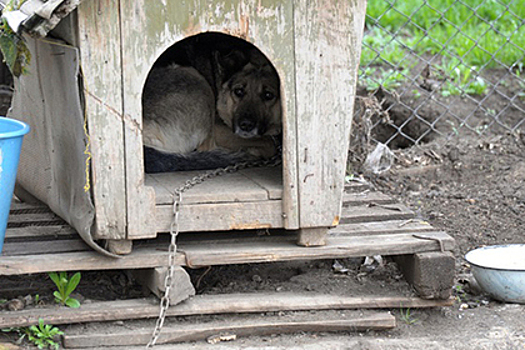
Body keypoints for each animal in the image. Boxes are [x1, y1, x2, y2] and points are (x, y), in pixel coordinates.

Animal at [141, 34, 280, 174]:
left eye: (268, 95)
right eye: (238, 91)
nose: (246, 125)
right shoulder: (219, 129)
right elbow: (269, 143)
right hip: (198, 82)